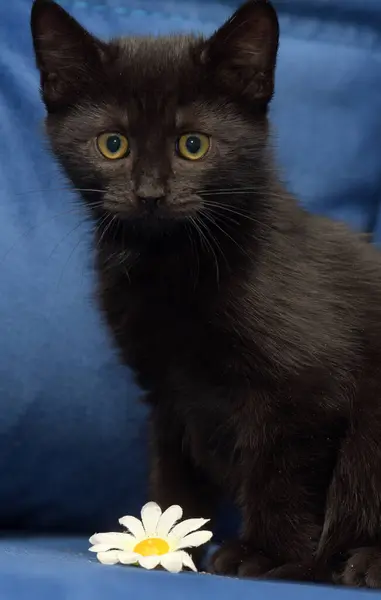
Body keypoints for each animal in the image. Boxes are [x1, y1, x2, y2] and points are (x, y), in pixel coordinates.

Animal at [30, 0, 381, 584]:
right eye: (112, 144)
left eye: (192, 145)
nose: (150, 193)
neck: (170, 265)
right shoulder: (169, 393)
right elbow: (175, 476)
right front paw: (165, 547)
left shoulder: (307, 390)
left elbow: (280, 477)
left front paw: (267, 554)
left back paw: (364, 561)